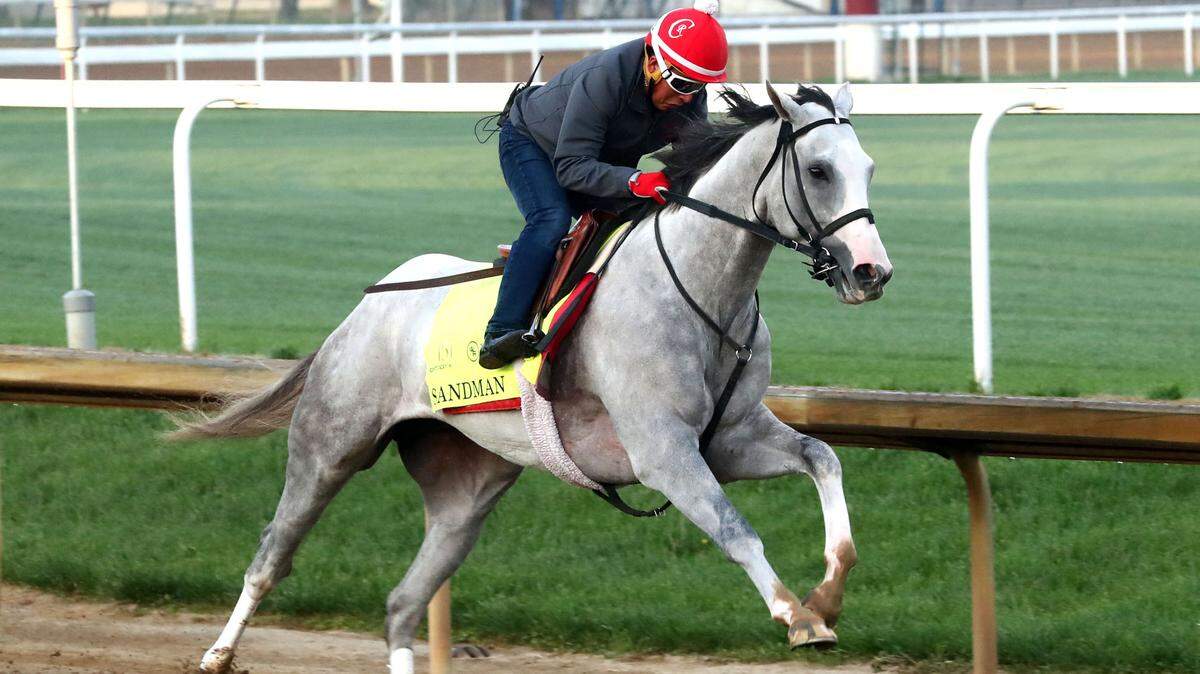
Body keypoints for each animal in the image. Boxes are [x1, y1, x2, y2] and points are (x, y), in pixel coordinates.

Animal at [179, 82, 892, 674]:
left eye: (868, 169)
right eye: (820, 170)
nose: (871, 272)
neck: (698, 288)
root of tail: (362, 310)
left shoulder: (730, 437)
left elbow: (823, 456)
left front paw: (829, 592)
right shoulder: (664, 452)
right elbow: (736, 529)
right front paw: (798, 617)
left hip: (466, 491)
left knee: (403, 604)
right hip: (329, 447)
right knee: (272, 556)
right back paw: (217, 653)